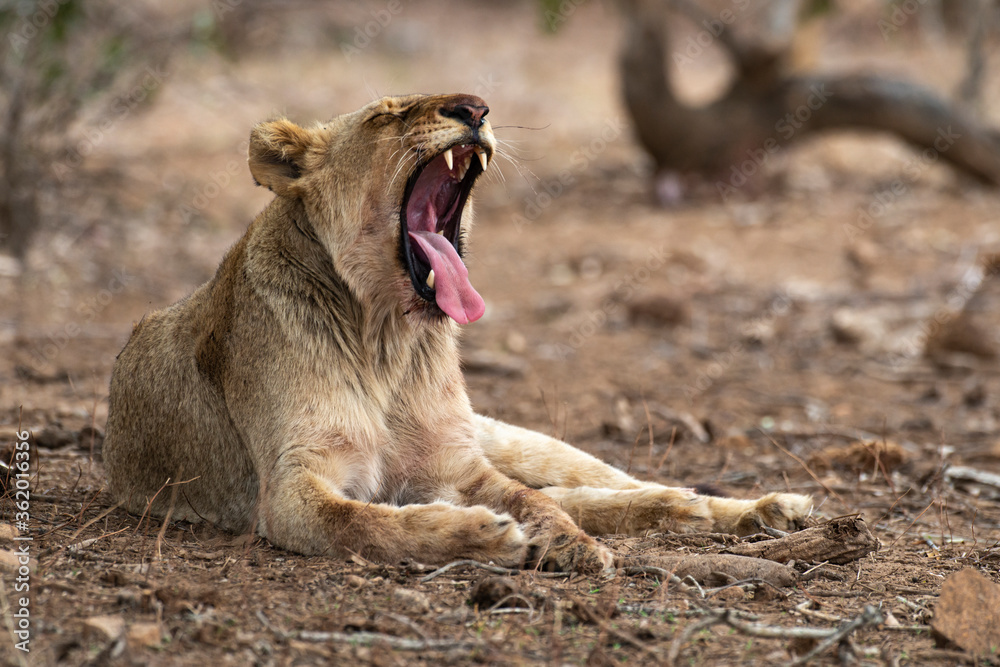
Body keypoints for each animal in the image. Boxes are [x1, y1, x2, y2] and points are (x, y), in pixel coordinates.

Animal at [103, 93, 811, 572]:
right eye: (383, 117)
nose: (475, 106)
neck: (384, 336)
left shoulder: (459, 463)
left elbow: (536, 504)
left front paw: (570, 545)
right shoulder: (291, 487)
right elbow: (363, 522)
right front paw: (483, 535)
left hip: (518, 439)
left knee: (607, 484)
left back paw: (757, 508)